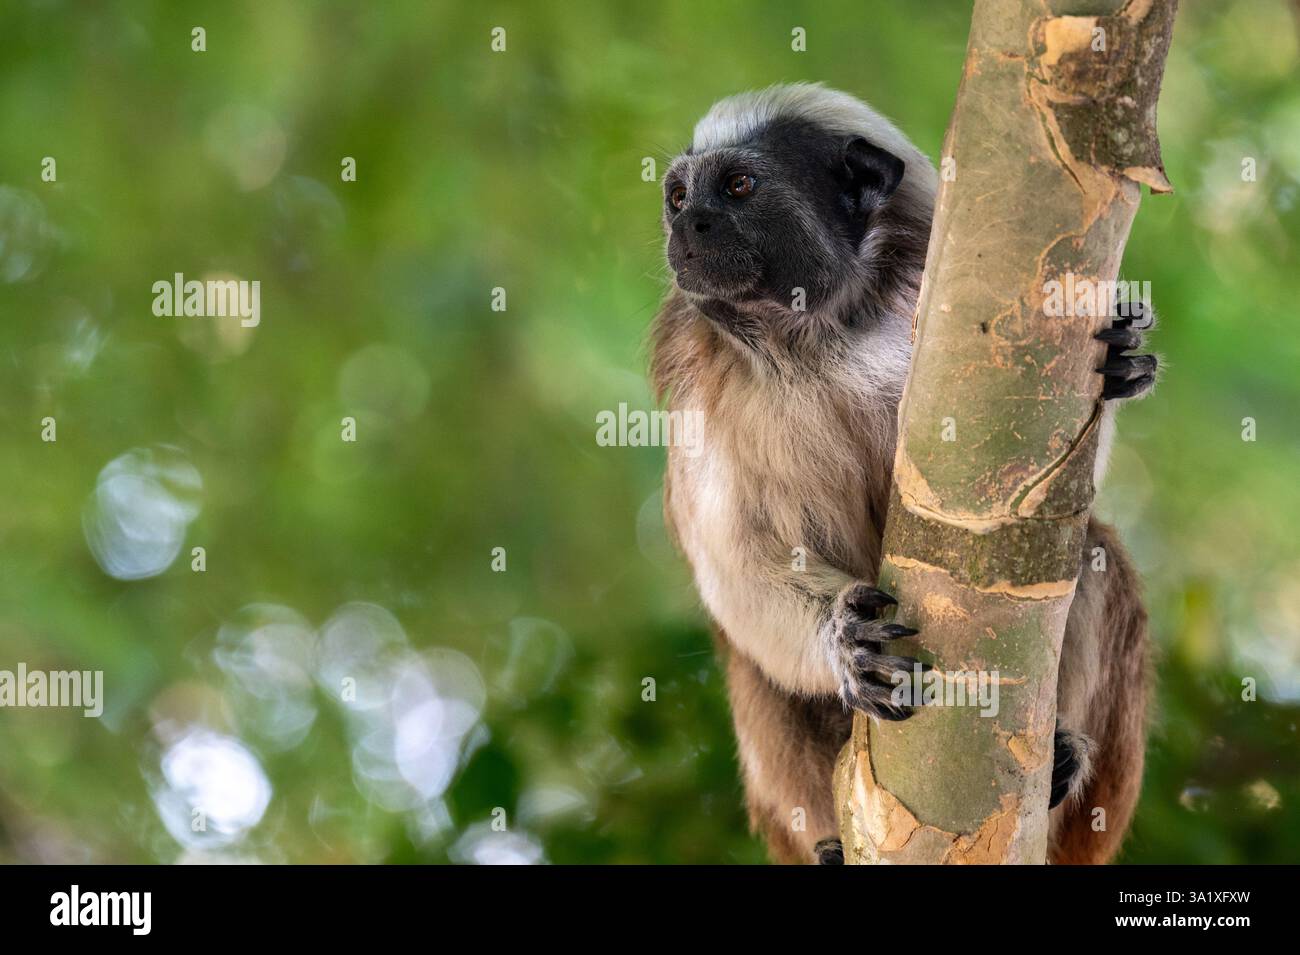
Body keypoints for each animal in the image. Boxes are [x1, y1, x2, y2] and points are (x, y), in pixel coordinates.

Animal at [649, 84, 1155, 865]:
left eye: (737, 187)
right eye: (678, 195)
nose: (687, 225)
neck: (817, 333)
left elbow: (1047, 494)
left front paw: (1121, 363)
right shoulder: (700, 390)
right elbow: (736, 566)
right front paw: (841, 641)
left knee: (1093, 555)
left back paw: (1058, 765)